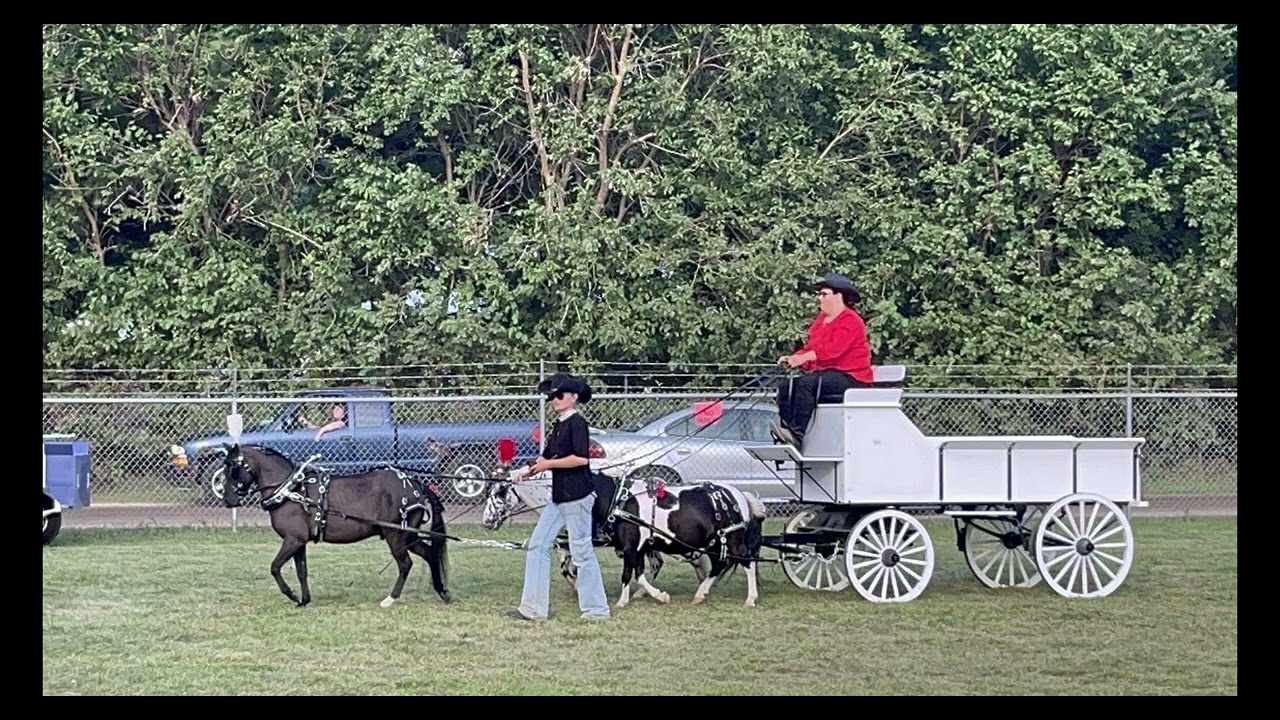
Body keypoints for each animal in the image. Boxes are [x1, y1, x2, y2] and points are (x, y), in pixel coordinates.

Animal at [220, 444, 452, 609]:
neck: (291, 490)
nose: (227, 499)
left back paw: (390, 599)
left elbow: (275, 567)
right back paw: (442, 591)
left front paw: (293, 595)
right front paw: (304, 600)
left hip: (395, 534)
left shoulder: (293, 539)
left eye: (232, 467)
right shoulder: (299, 542)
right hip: (408, 535)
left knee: (405, 564)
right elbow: (302, 571)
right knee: (430, 554)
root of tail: (416, 484)